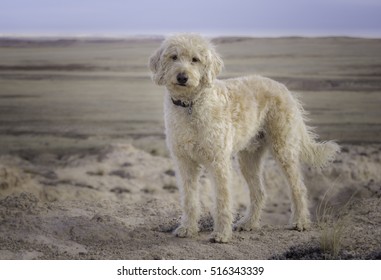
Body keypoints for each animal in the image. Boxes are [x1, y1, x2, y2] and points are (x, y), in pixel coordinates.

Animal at [148, 33, 338, 243]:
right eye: (173, 57)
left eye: (195, 59)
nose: (182, 77)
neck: (190, 104)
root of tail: (284, 88)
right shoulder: (184, 162)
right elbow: (189, 198)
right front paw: (187, 228)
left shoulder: (218, 162)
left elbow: (222, 200)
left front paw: (221, 234)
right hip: (249, 157)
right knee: (259, 193)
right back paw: (248, 223)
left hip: (283, 149)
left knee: (298, 188)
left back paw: (300, 222)